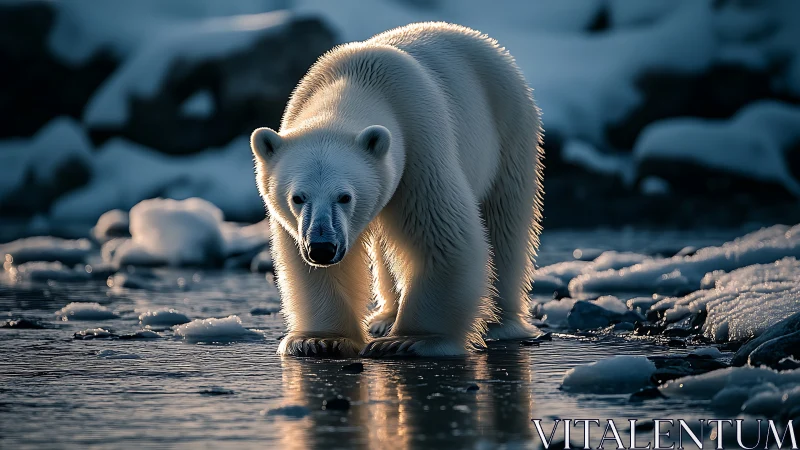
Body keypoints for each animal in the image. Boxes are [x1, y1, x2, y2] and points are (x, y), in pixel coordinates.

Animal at [251, 22, 544, 358]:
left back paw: (501, 322)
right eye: (298, 197)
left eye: (345, 196)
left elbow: (441, 238)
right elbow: (305, 265)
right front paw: (318, 340)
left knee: (505, 223)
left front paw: (409, 340)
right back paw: (385, 317)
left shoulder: (419, 147)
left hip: (508, 127)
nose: (322, 248)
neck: (356, 80)